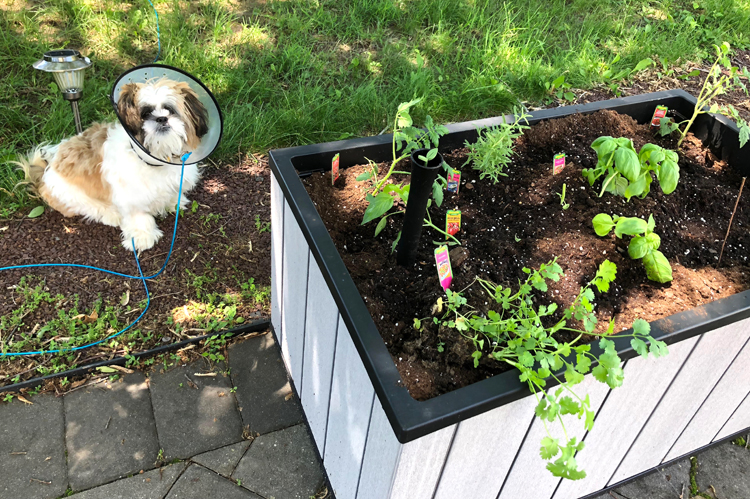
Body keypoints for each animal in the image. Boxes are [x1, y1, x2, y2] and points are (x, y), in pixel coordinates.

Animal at [15, 79, 209, 254]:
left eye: (170, 110)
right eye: (145, 114)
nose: (161, 118)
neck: (156, 157)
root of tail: (45, 171)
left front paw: (173, 202)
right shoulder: (132, 197)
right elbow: (138, 217)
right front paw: (142, 237)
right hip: (71, 195)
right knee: (91, 207)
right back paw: (111, 214)